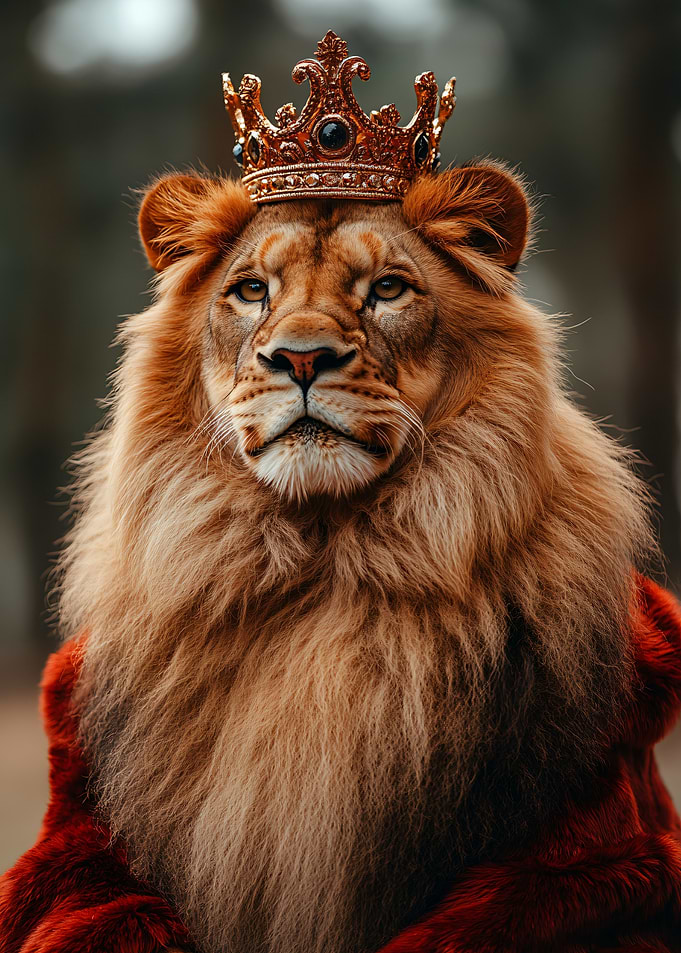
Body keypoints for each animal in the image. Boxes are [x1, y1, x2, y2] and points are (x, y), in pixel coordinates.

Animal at [4, 160, 681, 953]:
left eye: (387, 288)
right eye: (251, 290)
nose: (301, 358)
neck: (324, 567)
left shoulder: (593, 848)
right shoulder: (80, 841)